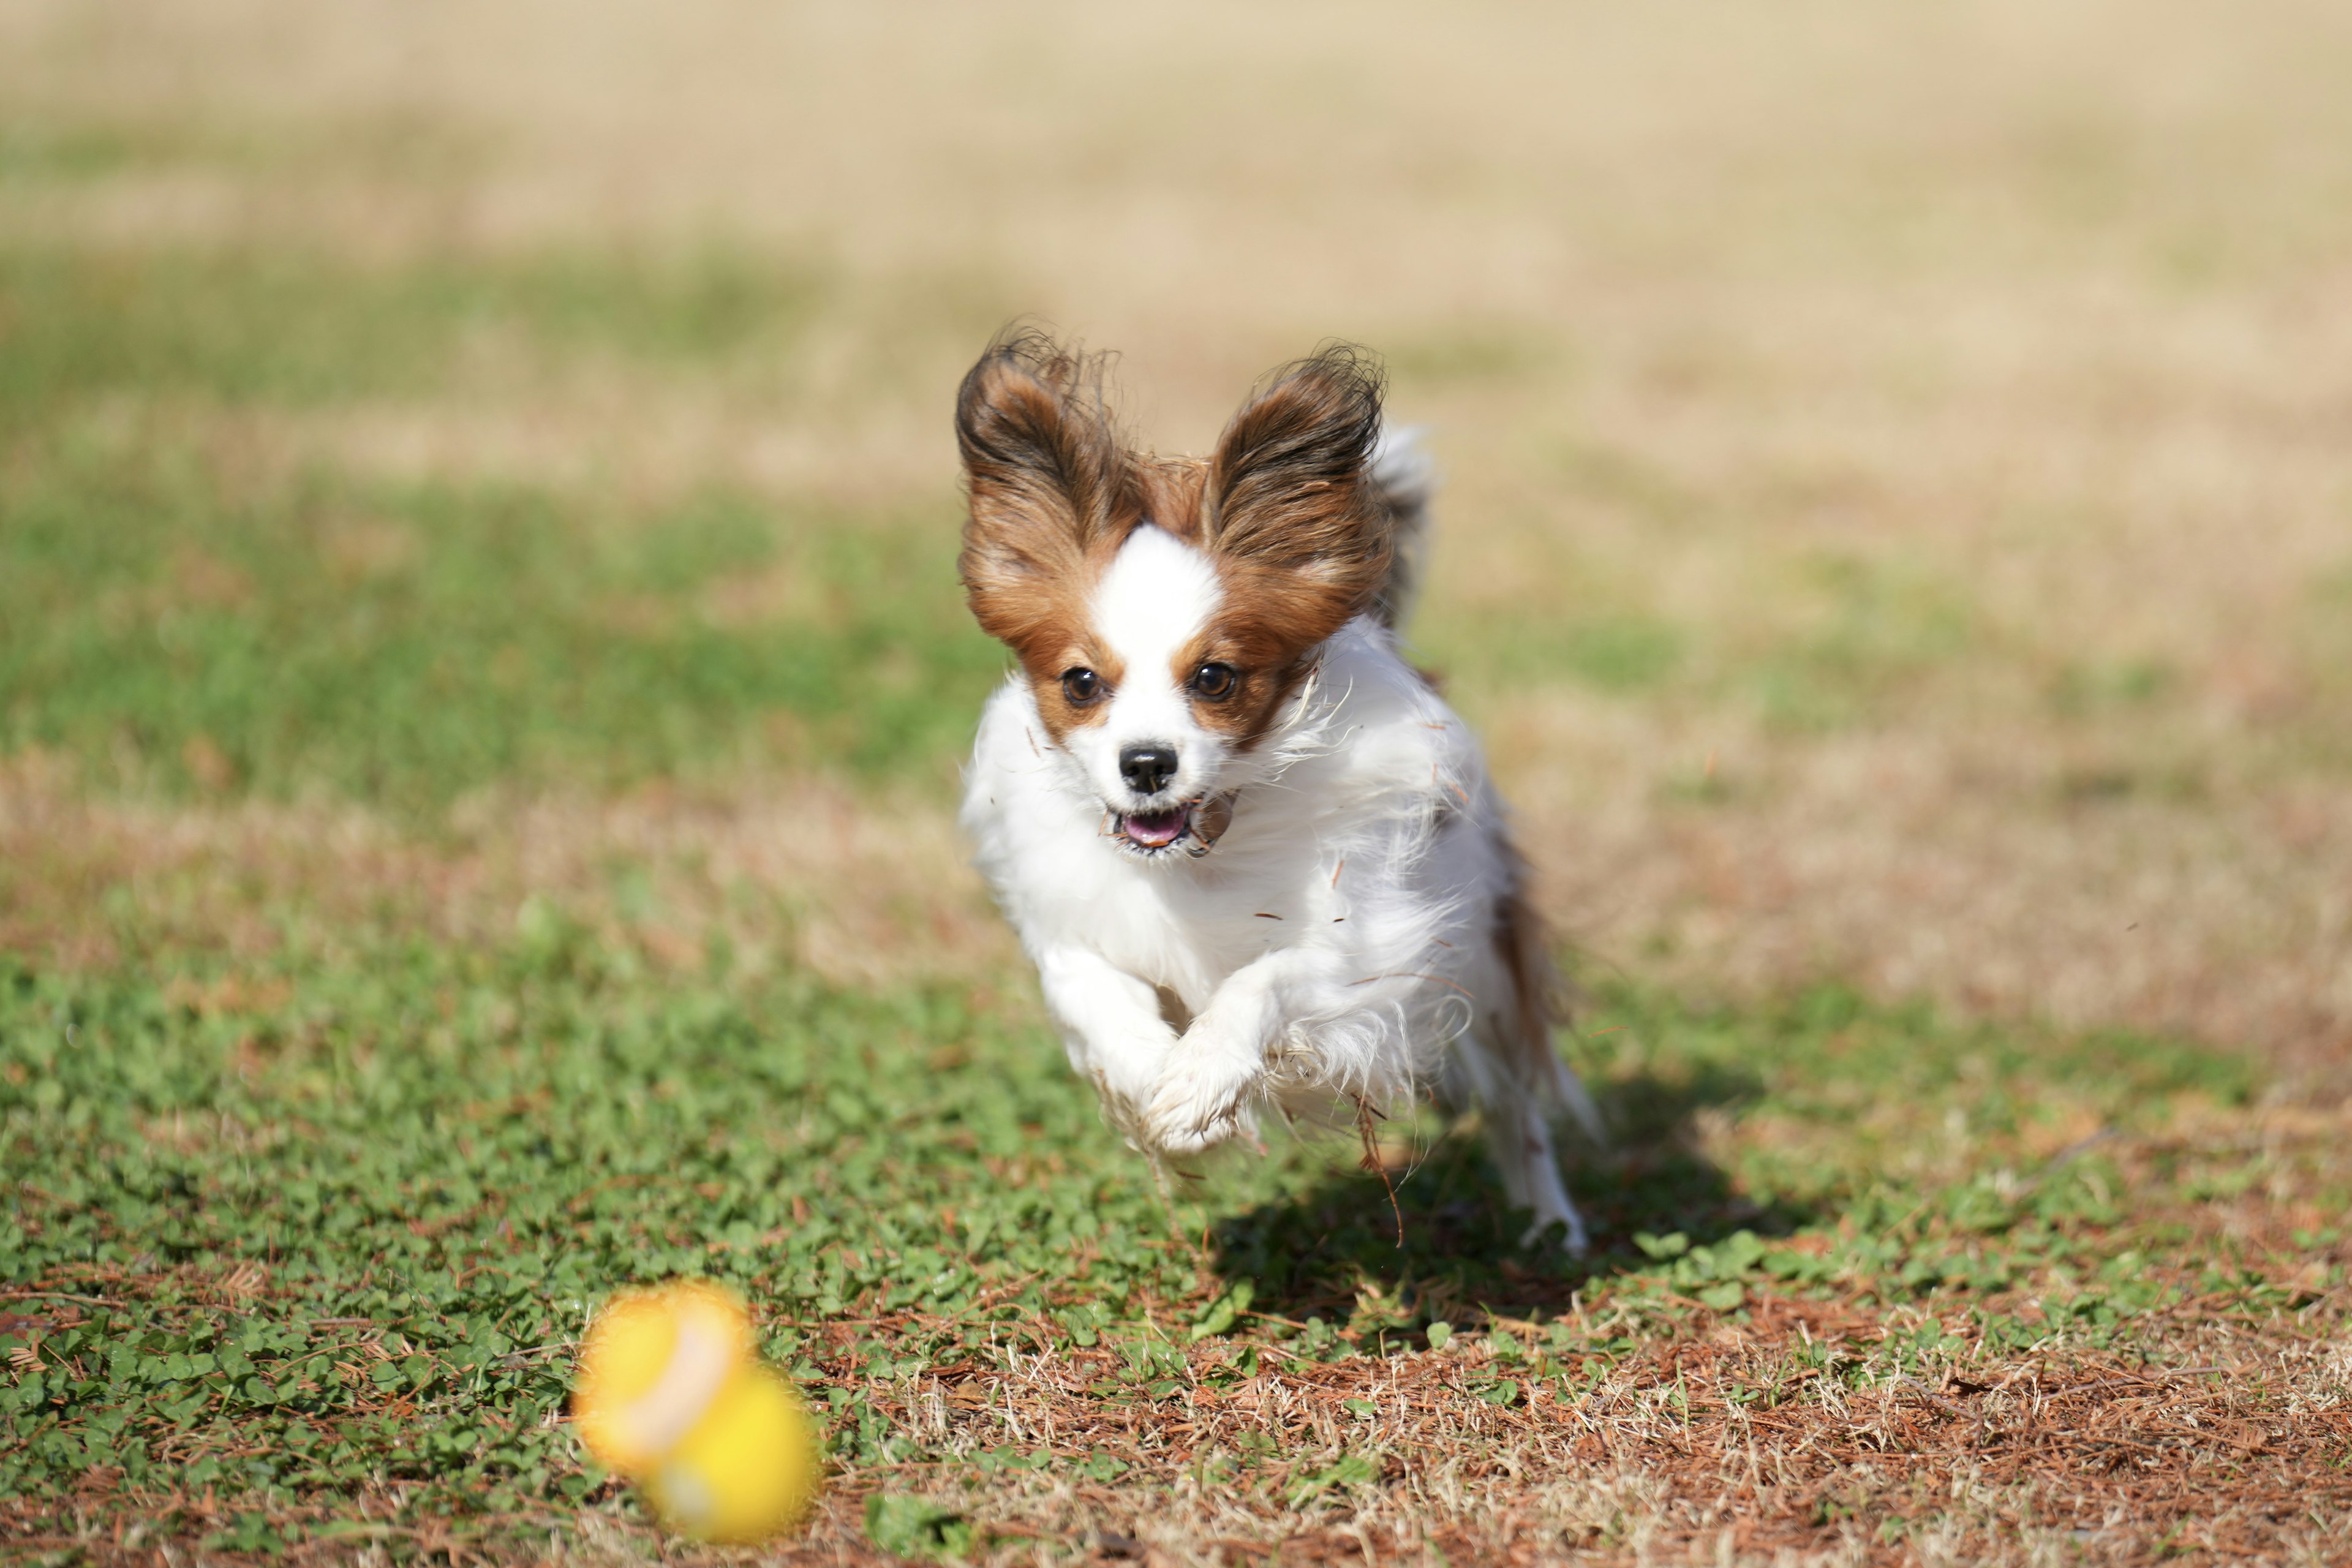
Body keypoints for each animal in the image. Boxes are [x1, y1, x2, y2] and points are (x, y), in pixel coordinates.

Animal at [955, 331, 1599, 1250]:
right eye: (1081, 683)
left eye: (1214, 678)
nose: (1146, 763)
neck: (1203, 855)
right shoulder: (1077, 929)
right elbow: (1096, 990)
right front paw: (1155, 1079)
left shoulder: (1370, 948)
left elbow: (1269, 978)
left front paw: (1202, 1080)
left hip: (1487, 967)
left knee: (1518, 1107)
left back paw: (1550, 1222)